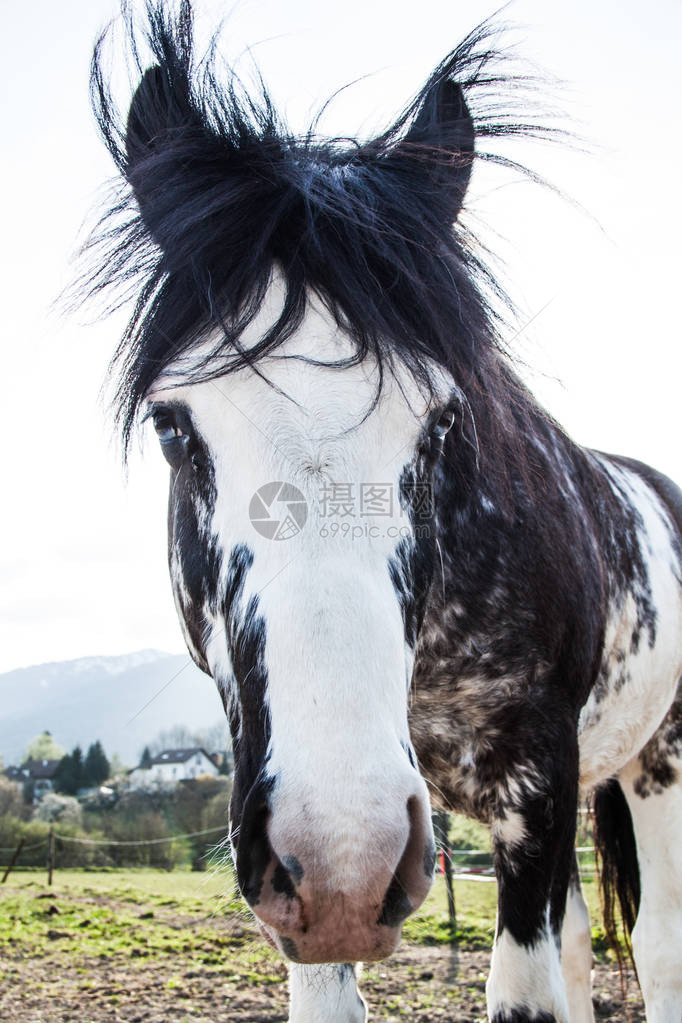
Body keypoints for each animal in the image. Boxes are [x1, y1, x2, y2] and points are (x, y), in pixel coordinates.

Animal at [83, 3, 682, 1018]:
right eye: (169, 426)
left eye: (444, 422)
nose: (346, 859)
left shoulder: (538, 784)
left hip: (660, 760)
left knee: (660, 943)